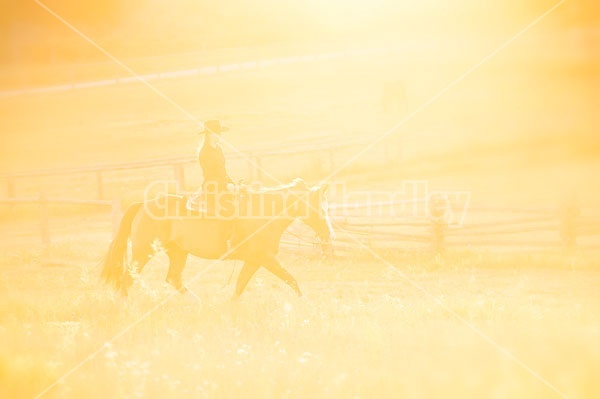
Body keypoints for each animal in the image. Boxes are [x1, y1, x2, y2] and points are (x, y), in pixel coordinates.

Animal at [101, 180, 336, 298]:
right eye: (319, 207)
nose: (329, 234)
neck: (264, 215)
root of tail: (142, 204)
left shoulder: (254, 261)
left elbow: (239, 288)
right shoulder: (266, 259)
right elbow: (291, 280)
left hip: (178, 252)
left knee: (173, 278)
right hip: (143, 252)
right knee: (127, 279)